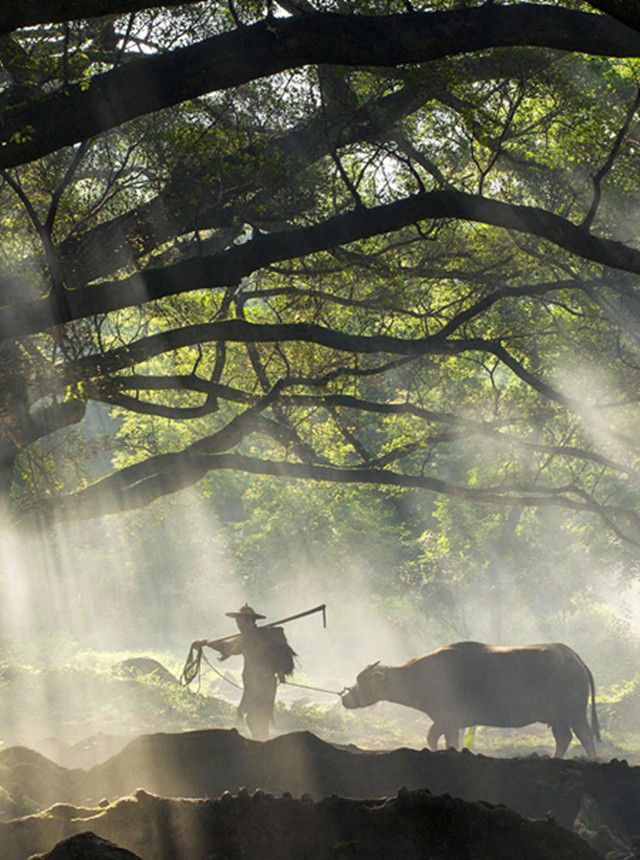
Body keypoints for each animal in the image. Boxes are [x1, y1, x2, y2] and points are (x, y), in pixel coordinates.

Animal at [344, 640, 600, 756]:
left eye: (362, 680)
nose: (345, 698)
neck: (421, 676)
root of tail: (574, 657)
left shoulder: (446, 719)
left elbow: (434, 737)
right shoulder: (450, 723)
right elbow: (441, 738)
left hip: (574, 713)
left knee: (585, 737)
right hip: (558, 718)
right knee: (564, 738)